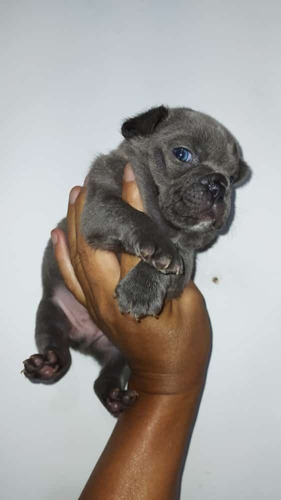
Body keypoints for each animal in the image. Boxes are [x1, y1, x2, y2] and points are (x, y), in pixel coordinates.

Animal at [23, 104, 248, 414]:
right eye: (182, 154)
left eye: (233, 177)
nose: (220, 183)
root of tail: (85, 341)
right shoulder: (99, 205)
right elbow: (132, 216)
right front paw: (156, 249)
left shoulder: (186, 260)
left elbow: (170, 261)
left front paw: (141, 288)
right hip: (50, 312)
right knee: (54, 343)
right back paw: (47, 364)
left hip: (121, 356)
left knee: (105, 376)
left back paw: (114, 397)